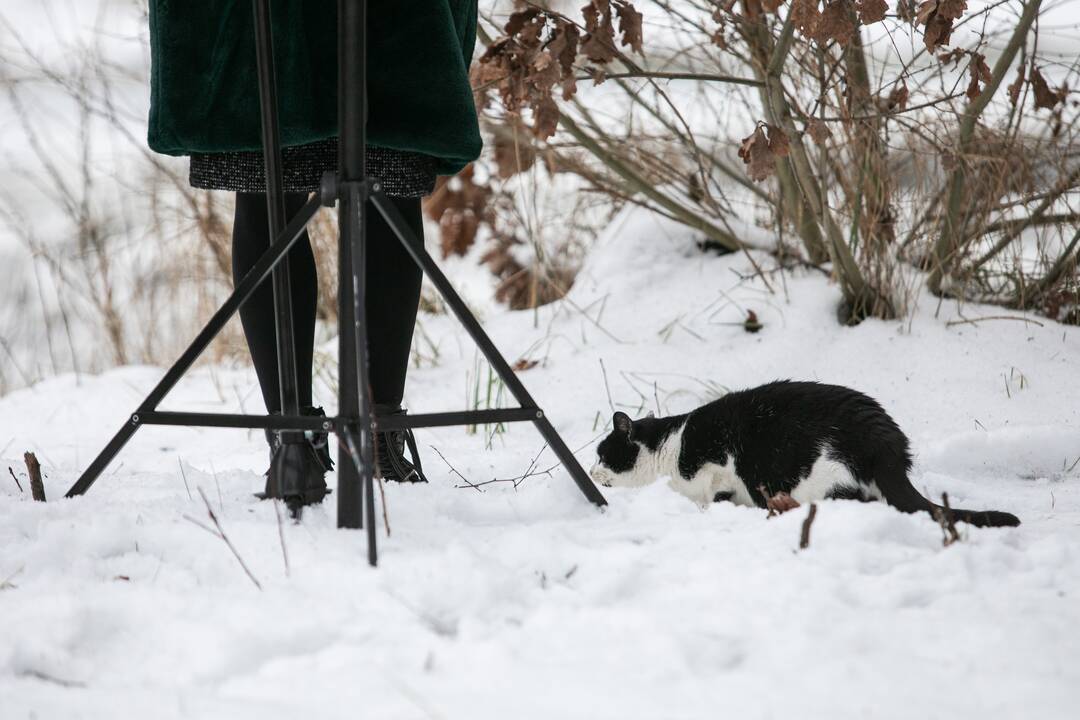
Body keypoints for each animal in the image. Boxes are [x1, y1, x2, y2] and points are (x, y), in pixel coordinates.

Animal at [591, 382, 1019, 528]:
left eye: (601, 454)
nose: (592, 472)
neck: (669, 449)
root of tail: (887, 445)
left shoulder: (714, 466)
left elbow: (714, 491)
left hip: (817, 472)